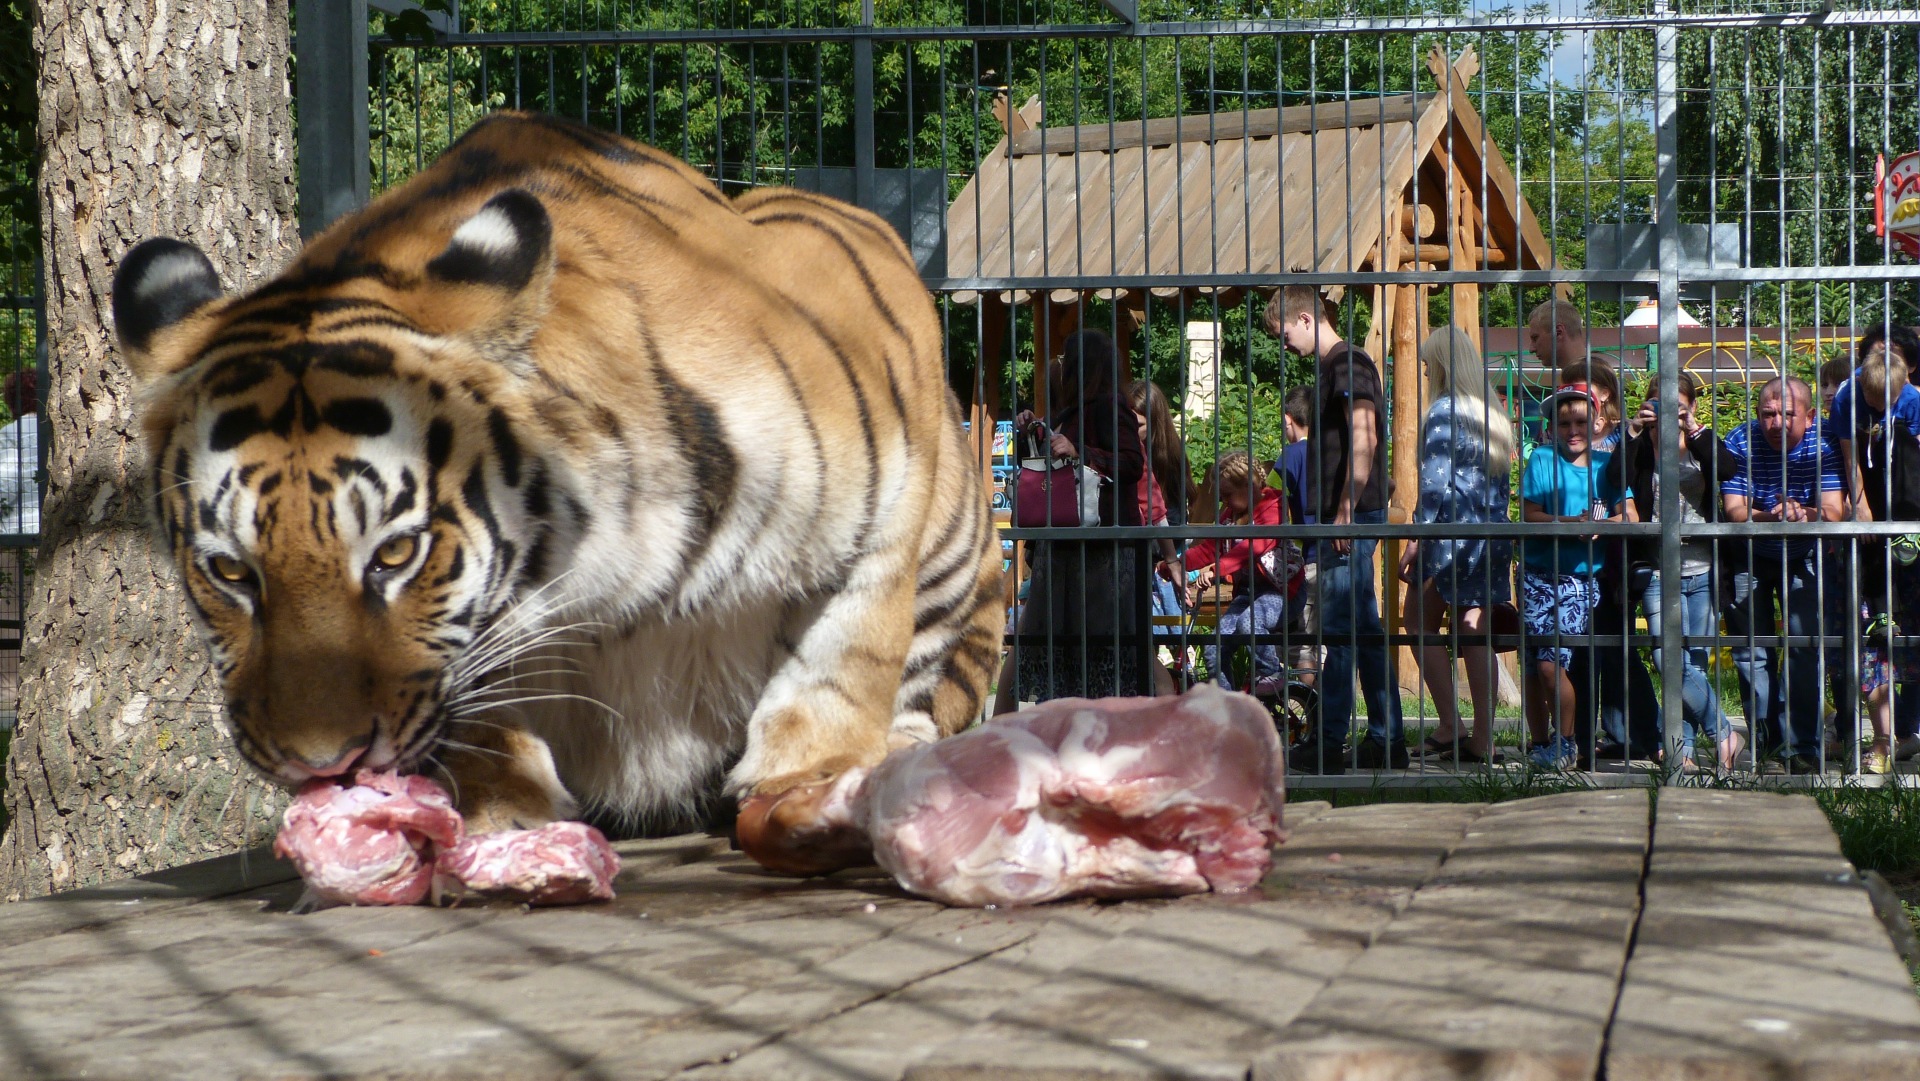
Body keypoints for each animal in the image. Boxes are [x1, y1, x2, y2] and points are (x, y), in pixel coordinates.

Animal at [110, 110, 1006, 873]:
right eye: (231, 571)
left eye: (396, 553)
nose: (321, 762)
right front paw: (501, 815)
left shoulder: (881, 424)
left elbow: (842, 661)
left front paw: (809, 783)